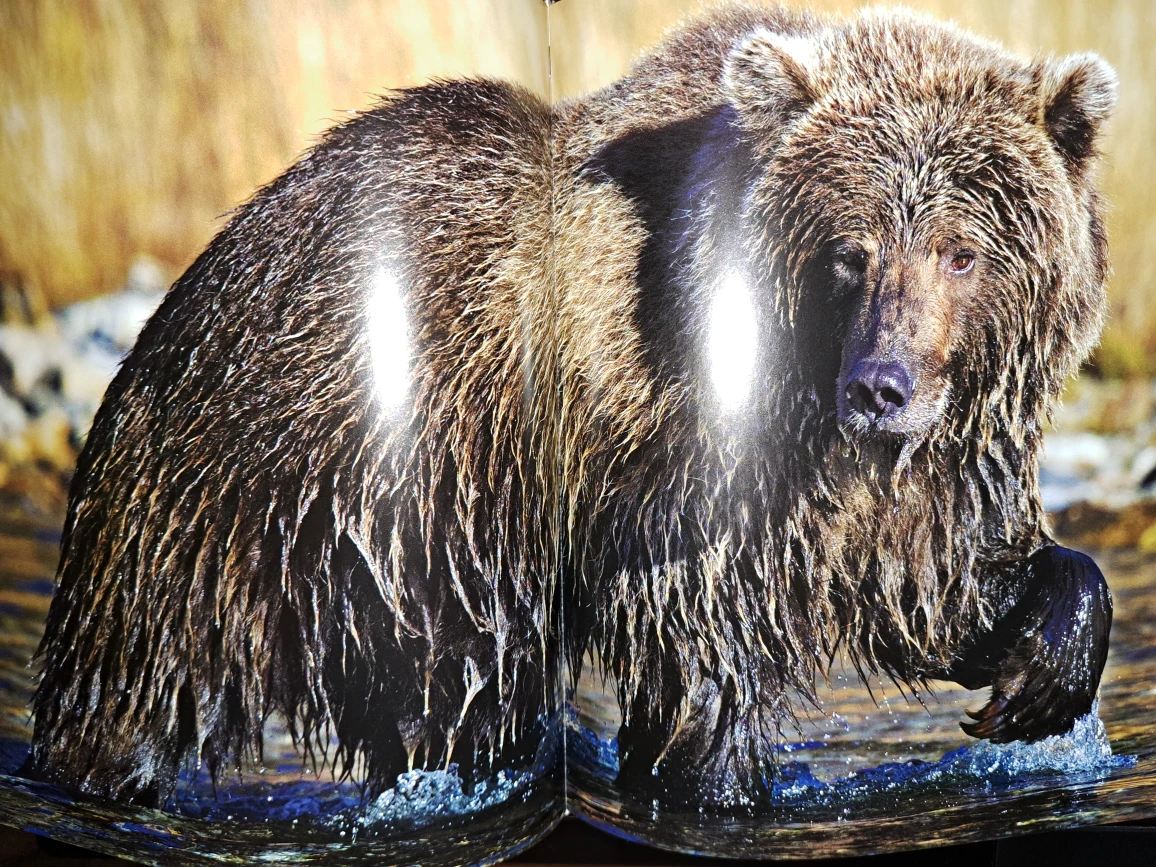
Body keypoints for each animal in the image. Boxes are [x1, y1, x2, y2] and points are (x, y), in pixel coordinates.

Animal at [25, 2, 1116, 813]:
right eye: (850, 249)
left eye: (962, 250)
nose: (881, 386)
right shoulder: (678, 481)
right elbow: (705, 661)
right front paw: (716, 781)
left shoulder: (907, 479)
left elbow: (938, 583)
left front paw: (1034, 676)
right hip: (260, 499)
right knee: (133, 679)